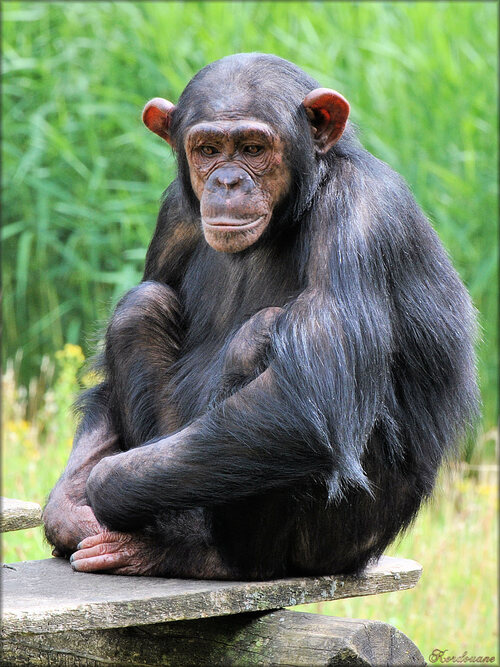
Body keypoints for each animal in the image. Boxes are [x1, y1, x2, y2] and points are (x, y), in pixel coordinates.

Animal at [45, 54, 478, 580]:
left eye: (253, 148)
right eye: (208, 149)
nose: (228, 181)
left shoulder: (361, 215)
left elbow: (303, 403)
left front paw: (104, 487)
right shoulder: (173, 213)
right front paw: (68, 507)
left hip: (329, 545)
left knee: (264, 335)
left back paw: (185, 548)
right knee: (140, 308)